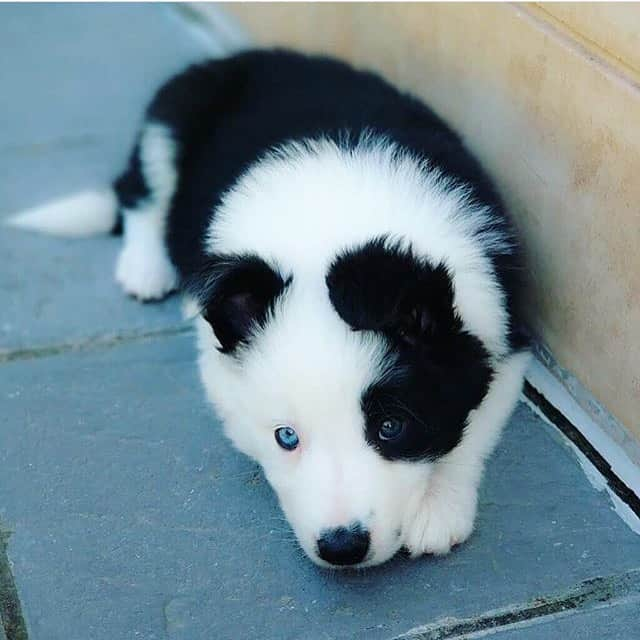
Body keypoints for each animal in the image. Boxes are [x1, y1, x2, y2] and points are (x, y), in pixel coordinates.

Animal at [10, 51, 528, 568]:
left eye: (391, 427)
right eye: (286, 437)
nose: (342, 548)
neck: (333, 224)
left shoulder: (503, 335)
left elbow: (474, 424)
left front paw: (438, 508)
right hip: (170, 119)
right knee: (138, 193)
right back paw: (146, 266)